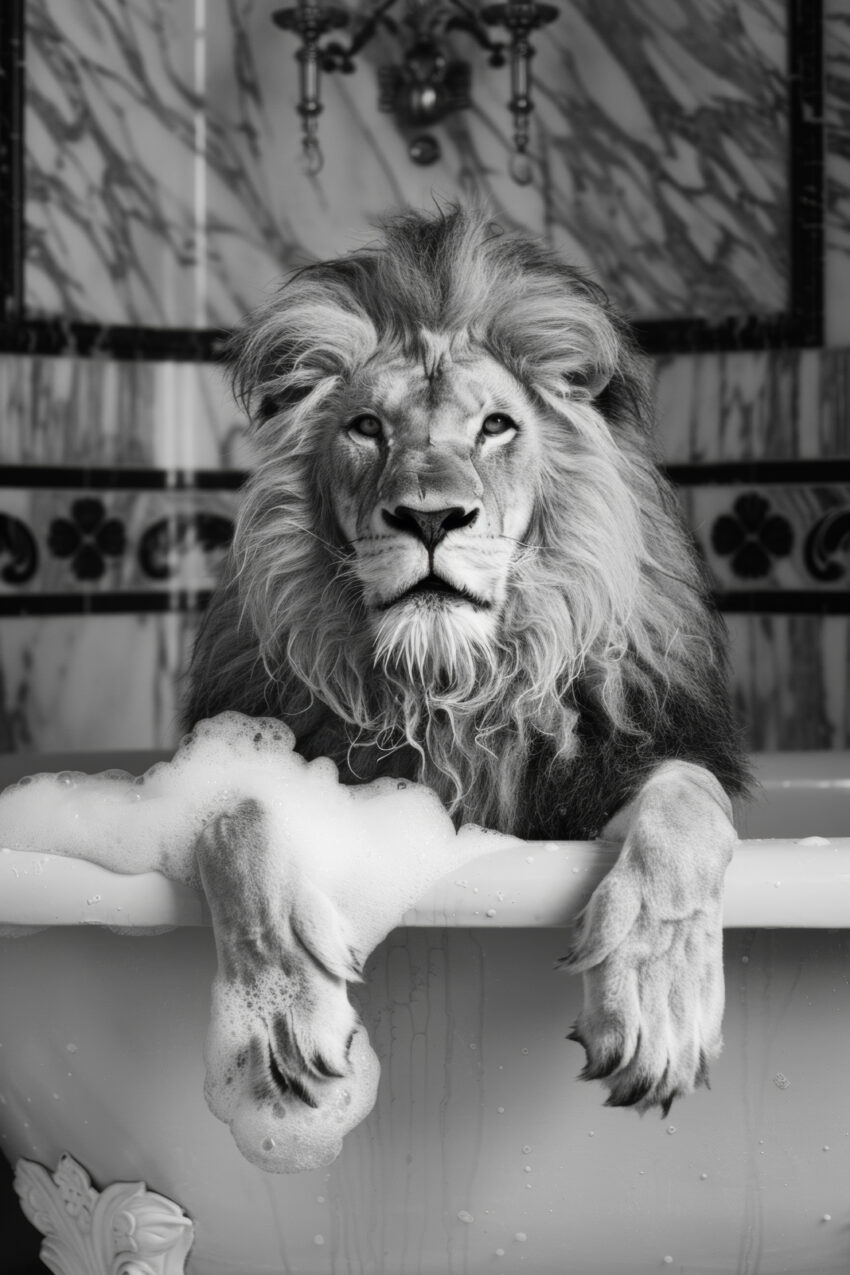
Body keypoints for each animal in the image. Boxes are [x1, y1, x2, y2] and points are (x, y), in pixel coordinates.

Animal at [185, 205, 749, 1119]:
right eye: (367, 428)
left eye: (495, 426)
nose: (430, 517)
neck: (446, 691)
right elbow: (236, 809)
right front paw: (276, 1017)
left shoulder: (613, 767)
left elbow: (685, 808)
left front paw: (656, 1004)